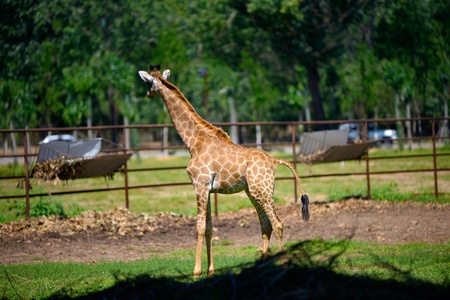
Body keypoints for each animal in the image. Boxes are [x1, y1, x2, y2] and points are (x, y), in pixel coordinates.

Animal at [139, 64, 312, 278]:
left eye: (147, 82)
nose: (147, 94)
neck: (193, 142)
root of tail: (274, 161)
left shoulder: (200, 185)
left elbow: (199, 227)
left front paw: (196, 272)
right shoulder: (207, 189)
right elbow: (210, 228)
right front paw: (210, 271)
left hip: (262, 191)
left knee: (278, 223)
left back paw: (284, 267)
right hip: (254, 192)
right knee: (266, 225)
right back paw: (261, 268)